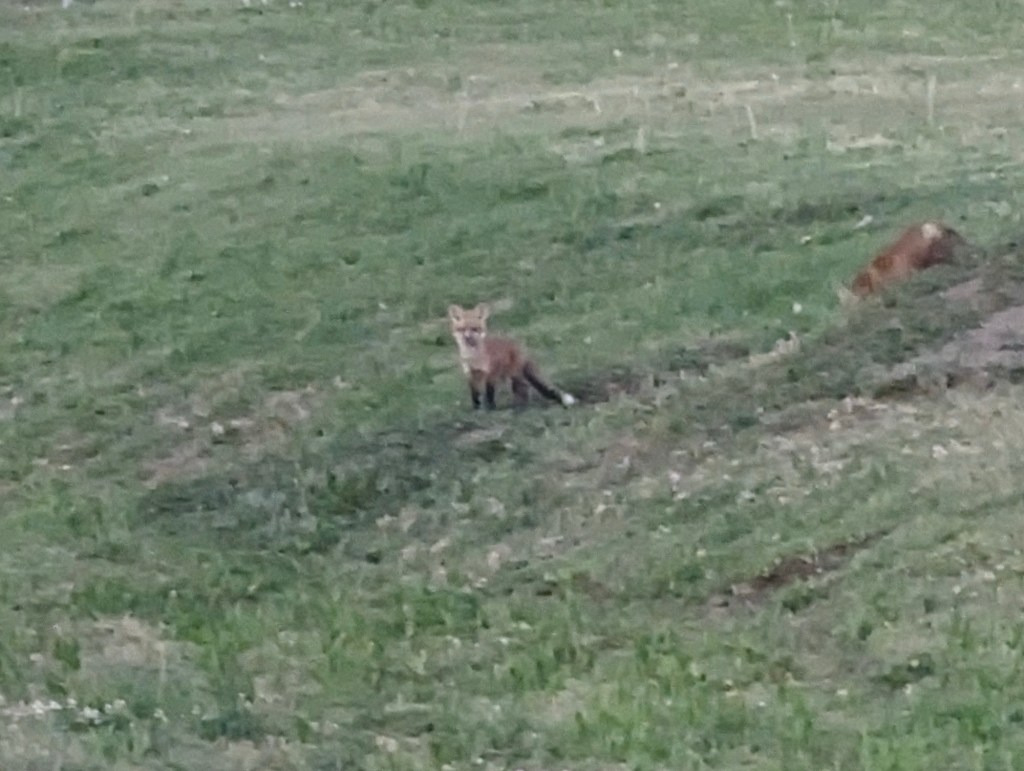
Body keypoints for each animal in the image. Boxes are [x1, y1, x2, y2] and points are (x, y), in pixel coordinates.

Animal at [447, 303, 576, 410]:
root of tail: (521, 346)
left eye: (474, 329)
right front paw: (476, 409)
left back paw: (521, 406)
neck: (474, 358)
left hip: (513, 376)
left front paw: (491, 408)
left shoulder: (491, 374)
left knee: (524, 388)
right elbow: (474, 395)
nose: (467, 337)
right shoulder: (471, 374)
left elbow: (489, 393)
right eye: (462, 329)